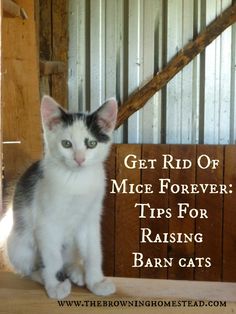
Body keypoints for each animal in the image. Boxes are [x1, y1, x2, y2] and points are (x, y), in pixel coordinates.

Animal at [6, 95, 118, 300]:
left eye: (91, 144)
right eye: (66, 144)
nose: (80, 159)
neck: (76, 180)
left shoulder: (91, 219)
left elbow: (93, 252)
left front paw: (96, 282)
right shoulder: (46, 223)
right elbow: (52, 257)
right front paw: (56, 285)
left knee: (70, 258)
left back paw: (76, 271)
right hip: (18, 245)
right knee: (29, 269)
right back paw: (43, 276)